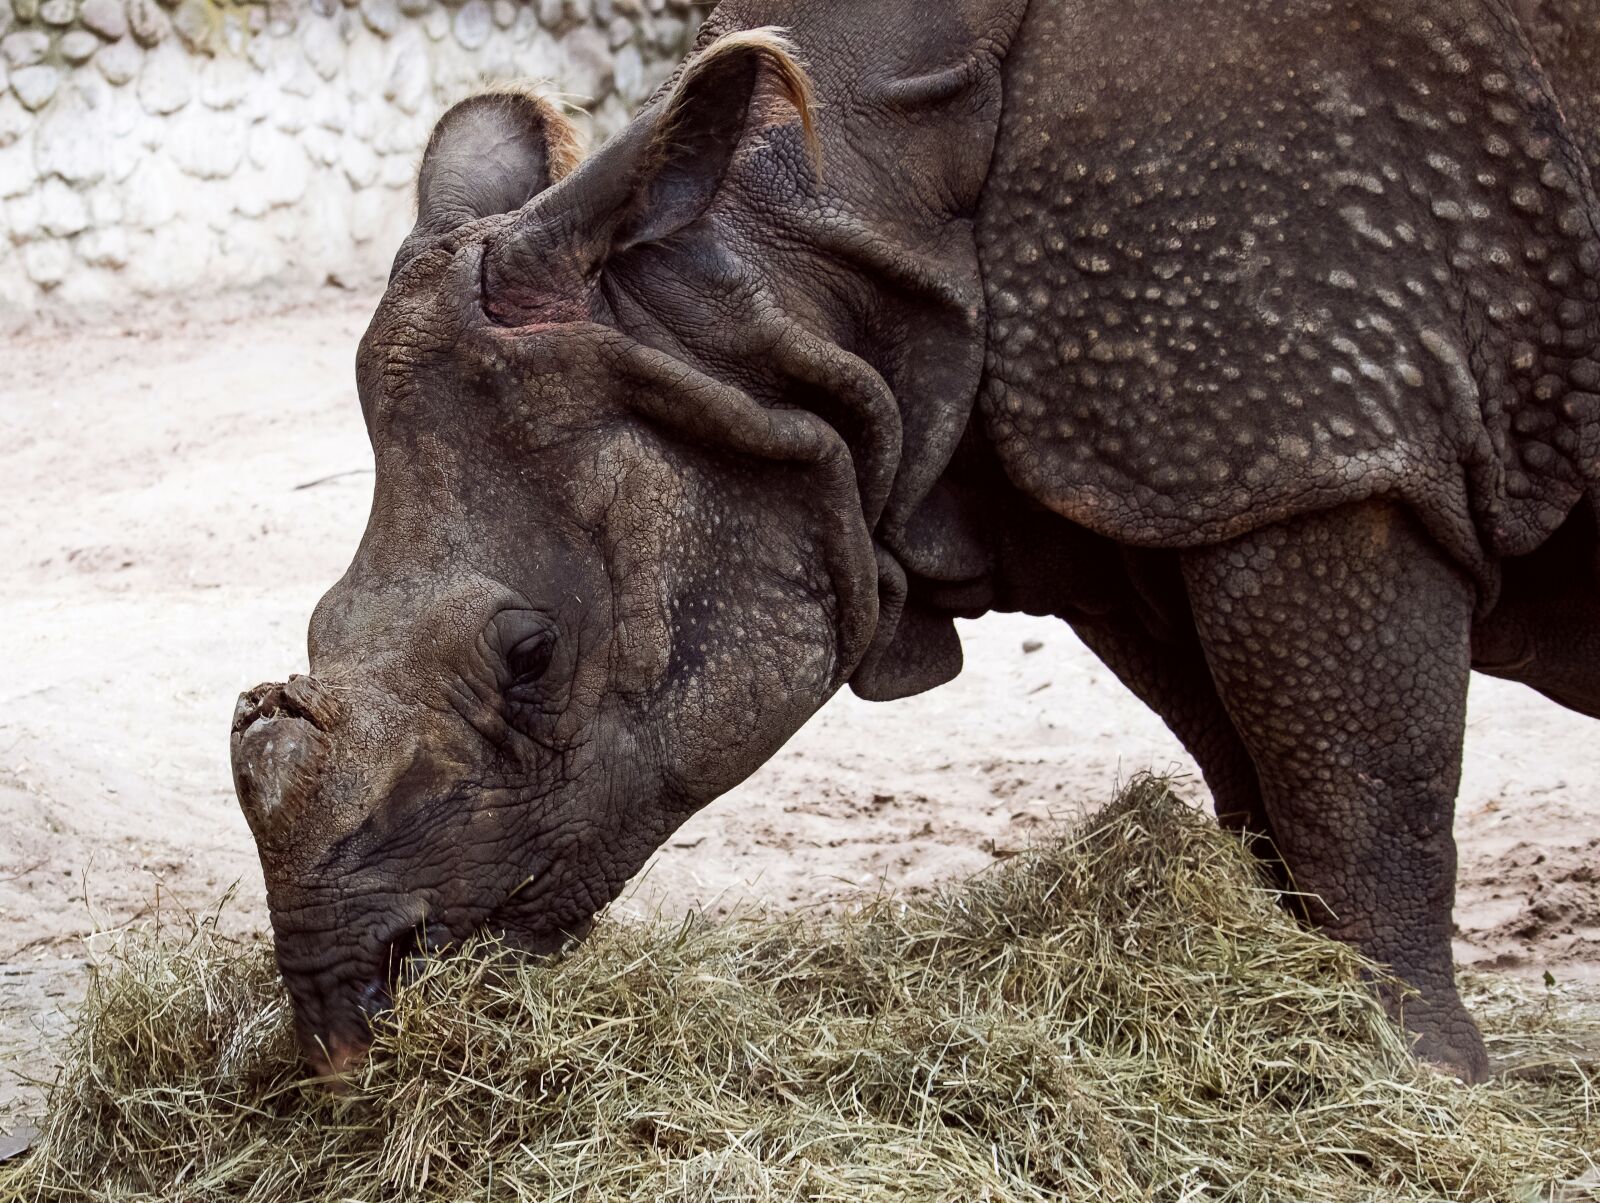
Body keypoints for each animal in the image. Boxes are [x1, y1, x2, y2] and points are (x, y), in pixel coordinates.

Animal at [232, 0, 1600, 1084]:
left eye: (529, 656)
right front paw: (1299, 1001)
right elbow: (1253, 781)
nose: (344, 1024)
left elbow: (1362, 800)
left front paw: (1418, 1080)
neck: (801, 266)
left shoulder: (1321, 451)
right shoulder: (1145, 489)